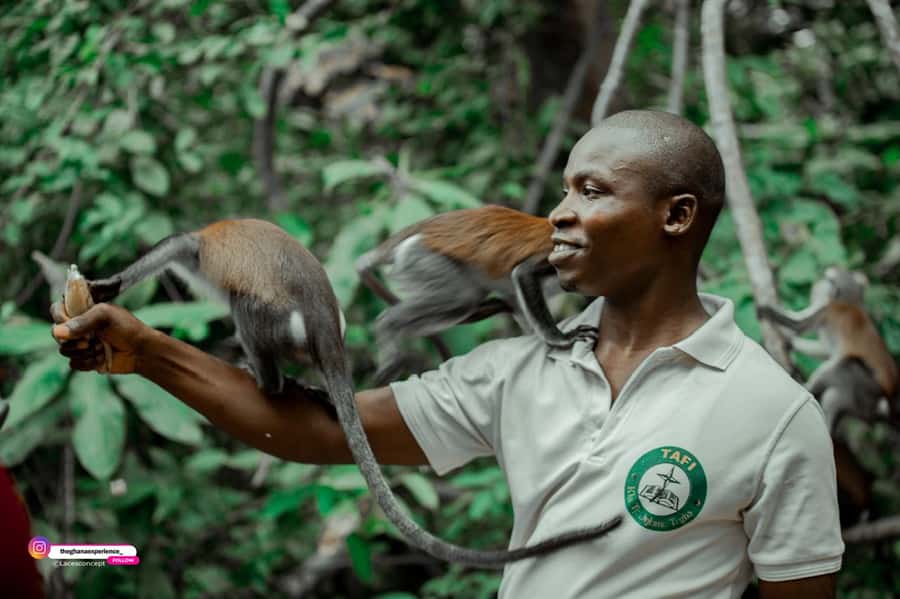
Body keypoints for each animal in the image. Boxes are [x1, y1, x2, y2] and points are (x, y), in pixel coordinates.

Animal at [355, 205, 599, 383]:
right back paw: (387, 324)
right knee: (460, 299)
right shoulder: (562, 255)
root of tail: (425, 226)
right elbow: (523, 272)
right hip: (422, 258)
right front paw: (561, 339)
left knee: (467, 302)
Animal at [758, 267, 899, 434]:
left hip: (869, 387)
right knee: (836, 395)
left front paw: (768, 312)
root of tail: (890, 394)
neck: (849, 302)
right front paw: (790, 342)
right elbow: (825, 351)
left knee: (845, 365)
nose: (819, 278)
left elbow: (798, 325)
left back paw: (808, 387)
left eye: (828, 278)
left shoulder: (827, 310)